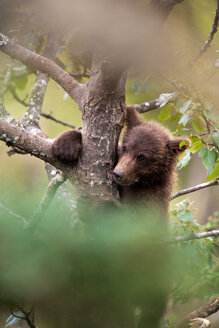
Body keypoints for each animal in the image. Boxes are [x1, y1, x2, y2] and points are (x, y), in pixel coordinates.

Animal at [51, 106, 190, 211]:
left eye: (142, 157)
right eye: (124, 148)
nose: (118, 174)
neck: (139, 183)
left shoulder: (152, 196)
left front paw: (92, 202)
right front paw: (66, 145)